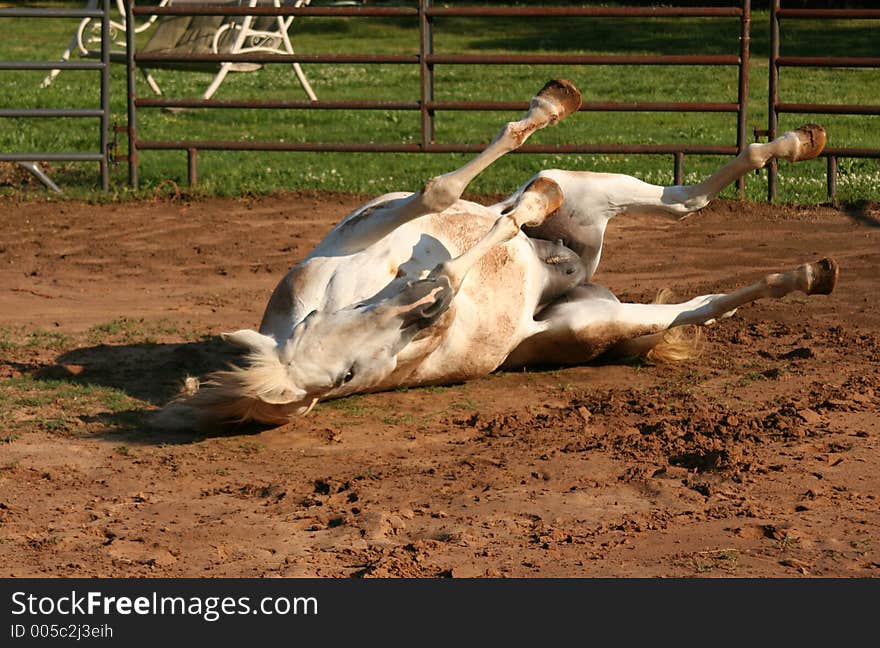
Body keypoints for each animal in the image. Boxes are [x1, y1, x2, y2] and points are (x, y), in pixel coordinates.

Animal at [155, 78, 836, 430]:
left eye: (317, 318)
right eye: (342, 379)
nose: (427, 309)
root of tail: (576, 272)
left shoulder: (363, 235)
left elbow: (441, 191)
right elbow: (470, 247)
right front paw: (497, 233)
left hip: (590, 188)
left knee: (681, 203)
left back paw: (799, 142)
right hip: (594, 321)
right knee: (698, 297)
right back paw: (809, 271)